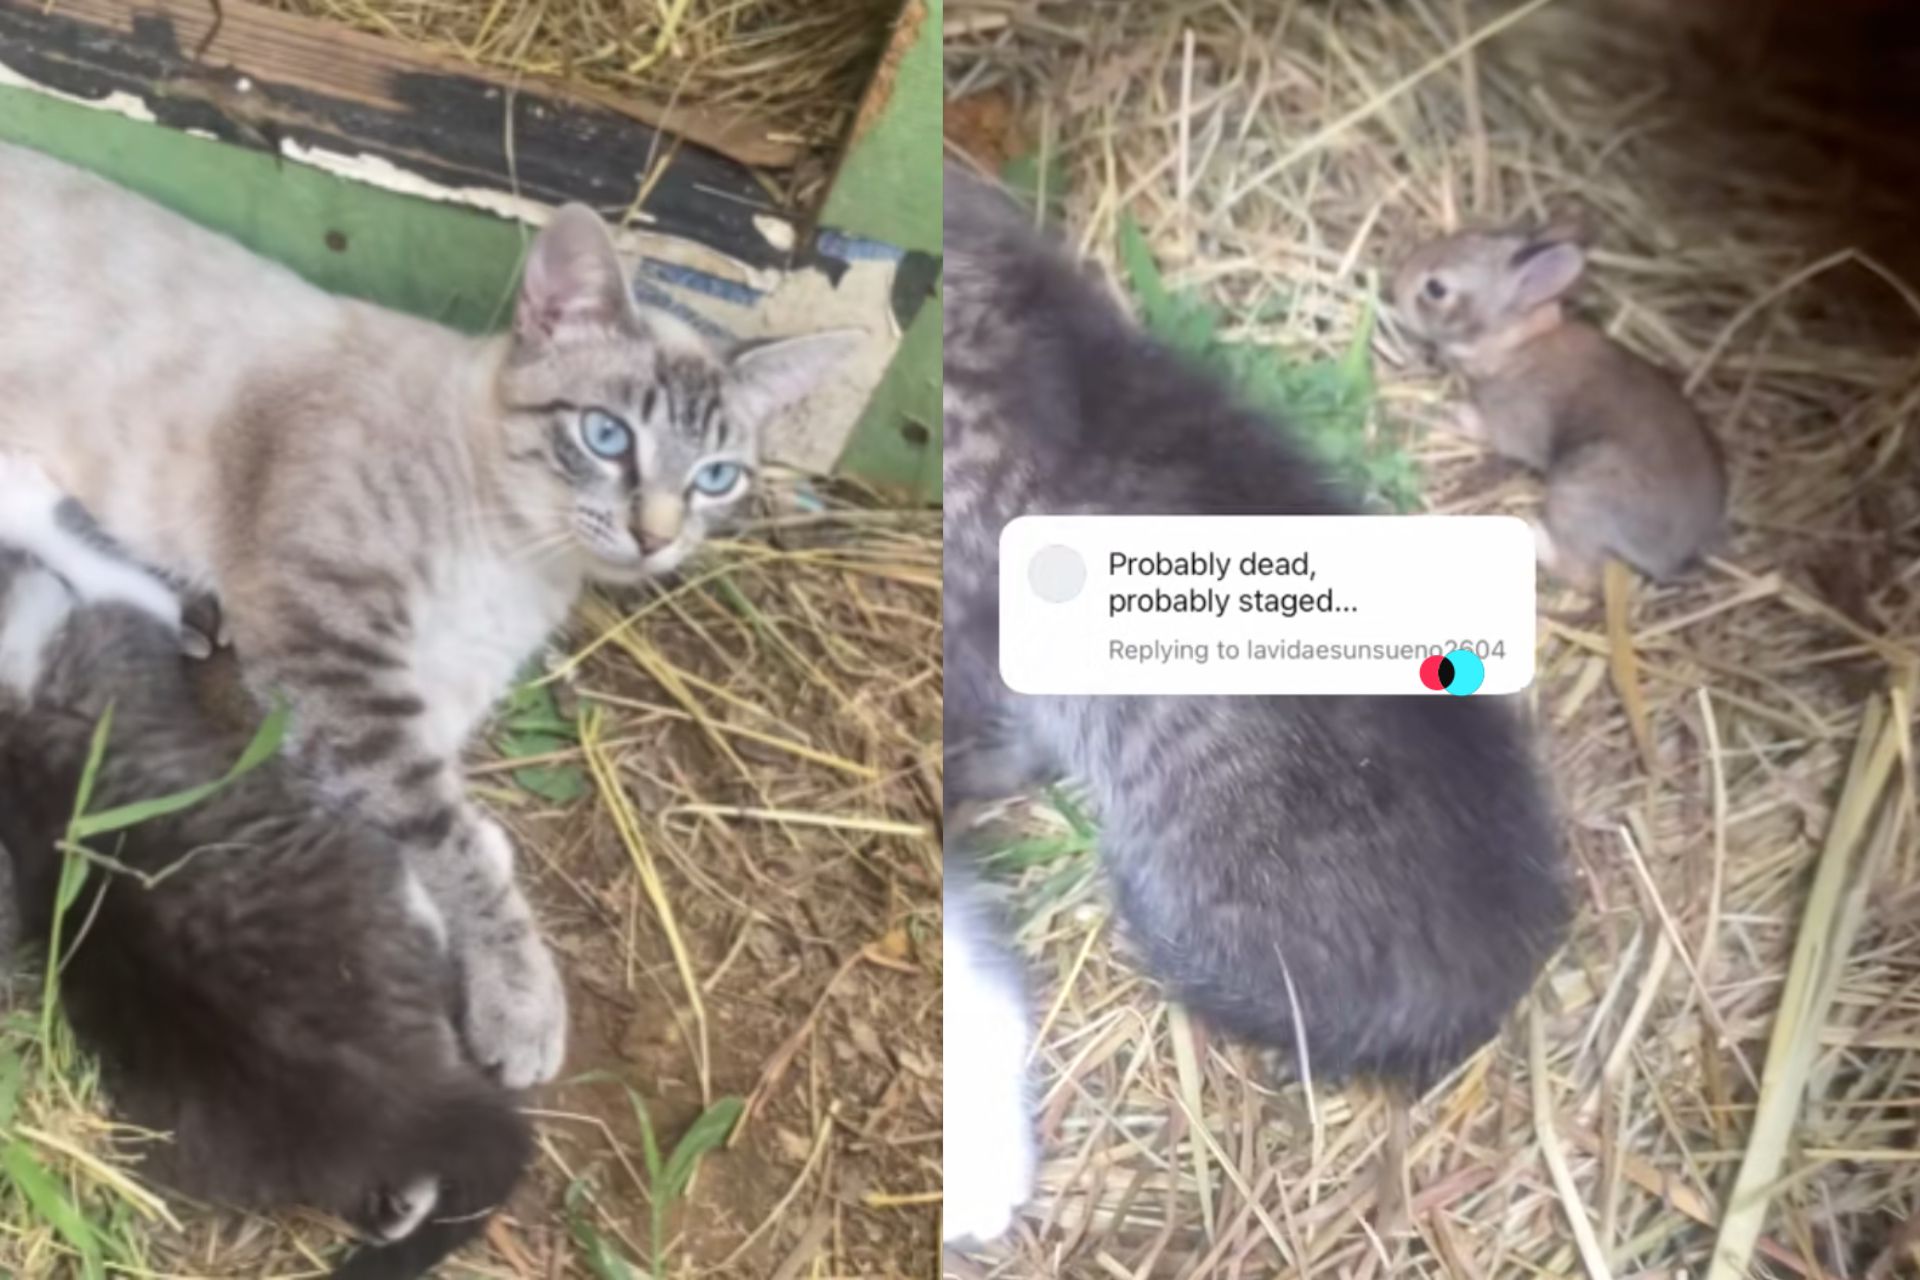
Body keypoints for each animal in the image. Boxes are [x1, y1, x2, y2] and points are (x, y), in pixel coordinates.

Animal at [1390, 217, 1728, 587]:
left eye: (1436, 289)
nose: (1397, 284)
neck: (1516, 345)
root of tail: (1676, 555)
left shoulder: (1510, 421)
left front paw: (1449, 412)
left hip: (1580, 491)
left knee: (1581, 573)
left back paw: (1535, 533)